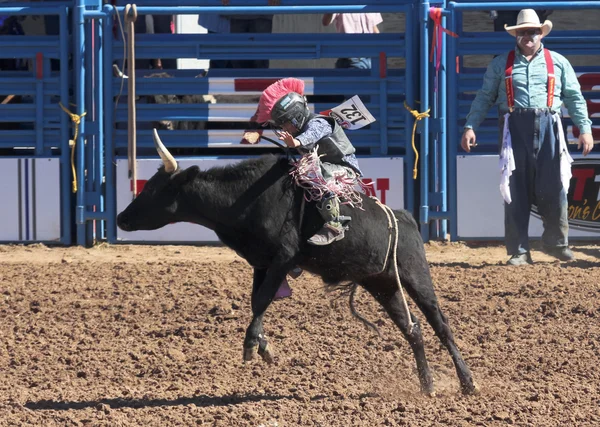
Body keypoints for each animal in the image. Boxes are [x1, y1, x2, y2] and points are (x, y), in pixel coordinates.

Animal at [116, 129, 474, 396]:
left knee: (441, 325)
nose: (121, 218)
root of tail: (405, 219)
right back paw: (427, 385)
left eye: (154, 190)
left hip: (416, 277)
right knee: (413, 330)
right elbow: (256, 300)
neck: (244, 197)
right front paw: (264, 345)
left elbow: (262, 299)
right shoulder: (262, 263)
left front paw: (252, 345)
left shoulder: (284, 257)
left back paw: (468, 382)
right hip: (383, 285)